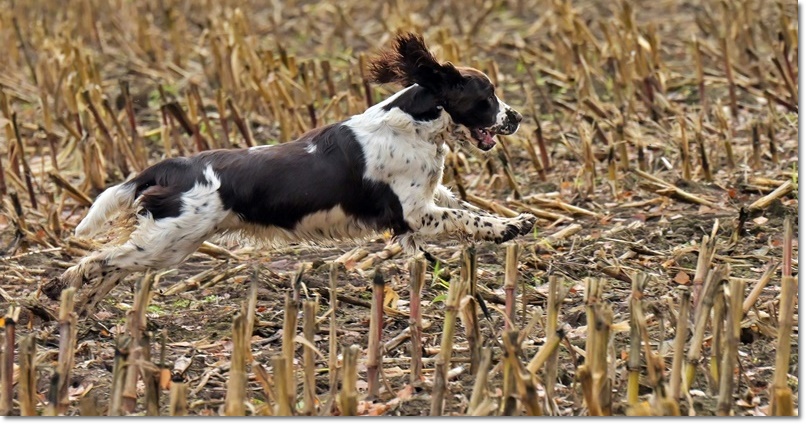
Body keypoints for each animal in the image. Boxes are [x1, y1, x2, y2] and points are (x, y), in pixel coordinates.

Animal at [46, 33, 536, 311]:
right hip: (170, 241)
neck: (414, 124)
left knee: (112, 265)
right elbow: (467, 217)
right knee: (100, 260)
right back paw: (58, 290)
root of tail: (174, 166)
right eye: (487, 95)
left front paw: (516, 220)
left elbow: (464, 206)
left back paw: (80, 308)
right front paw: (510, 228)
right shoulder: (413, 212)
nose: (516, 117)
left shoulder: (423, 204)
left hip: (167, 245)